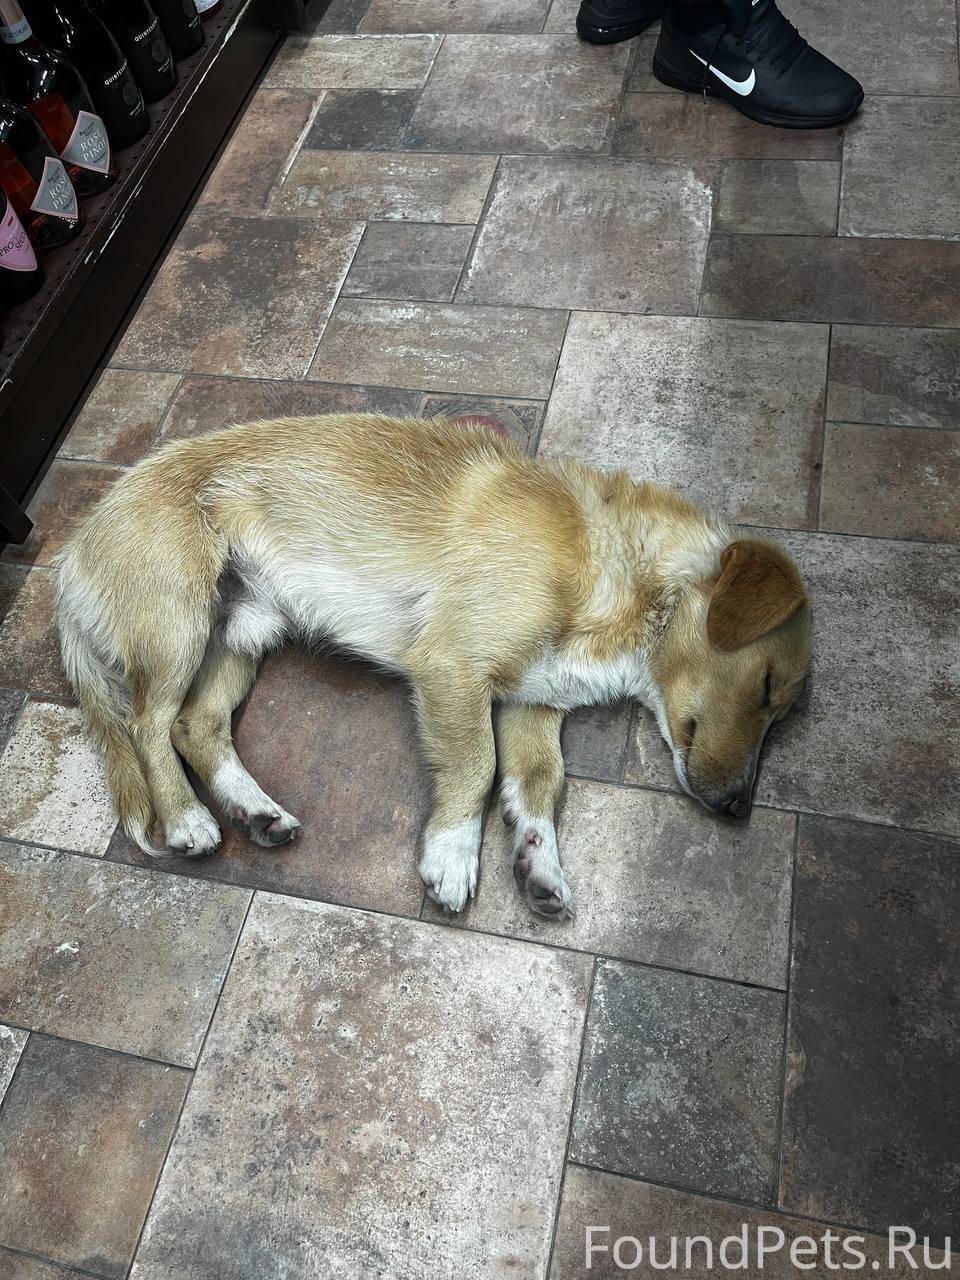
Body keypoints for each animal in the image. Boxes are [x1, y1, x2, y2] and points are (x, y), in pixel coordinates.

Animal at [56, 414, 810, 918]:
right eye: (767, 687)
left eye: (779, 706)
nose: (740, 810)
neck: (619, 571)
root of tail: (72, 550)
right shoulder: (453, 667)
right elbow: (476, 768)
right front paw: (450, 854)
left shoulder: (532, 704)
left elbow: (539, 785)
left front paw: (541, 866)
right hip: (179, 621)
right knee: (150, 724)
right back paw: (187, 819)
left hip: (243, 633)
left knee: (196, 726)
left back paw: (256, 811)